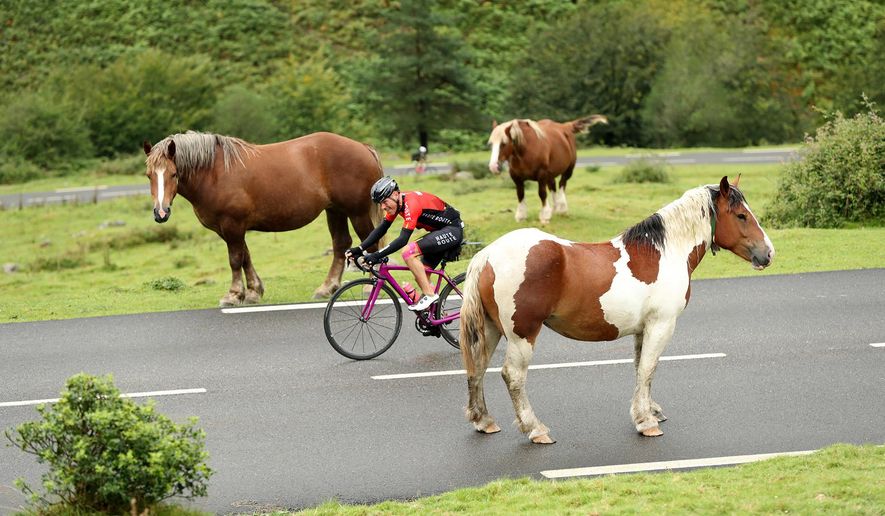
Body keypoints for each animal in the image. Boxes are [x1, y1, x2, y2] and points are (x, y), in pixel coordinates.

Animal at [143, 131, 383, 306]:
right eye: (149, 175)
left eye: (173, 173)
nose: (161, 213)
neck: (215, 173)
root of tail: (363, 147)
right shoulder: (230, 228)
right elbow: (245, 257)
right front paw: (253, 292)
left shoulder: (232, 225)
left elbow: (235, 259)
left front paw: (233, 295)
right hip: (335, 211)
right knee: (341, 243)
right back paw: (327, 288)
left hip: (357, 212)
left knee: (371, 244)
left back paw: (369, 287)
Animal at [459, 176, 774, 444]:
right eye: (741, 215)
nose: (768, 253)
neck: (663, 253)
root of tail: (487, 255)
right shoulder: (662, 325)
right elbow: (648, 367)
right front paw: (646, 422)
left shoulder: (643, 329)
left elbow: (641, 369)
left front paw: (650, 410)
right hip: (522, 335)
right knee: (513, 375)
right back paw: (535, 429)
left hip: (491, 330)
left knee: (478, 367)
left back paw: (484, 420)